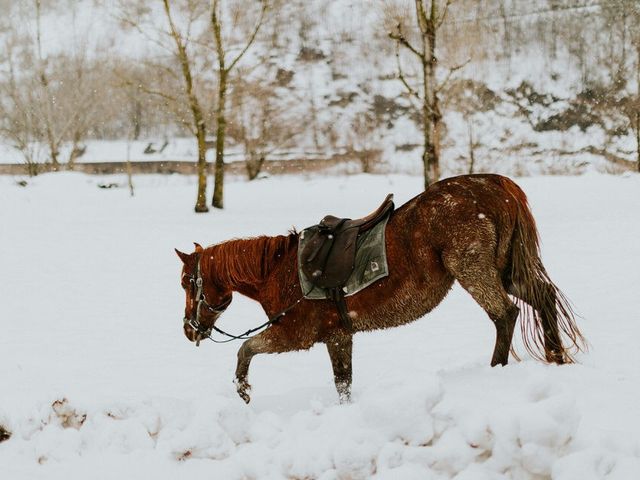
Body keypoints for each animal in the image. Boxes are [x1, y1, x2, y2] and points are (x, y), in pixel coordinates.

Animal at [174, 174, 584, 404]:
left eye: (185, 283)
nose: (189, 330)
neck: (279, 269)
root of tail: (498, 186)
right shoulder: (339, 337)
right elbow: (343, 384)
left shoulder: (295, 334)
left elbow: (245, 349)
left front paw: (243, 390)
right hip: (508, 270)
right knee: (543, 299)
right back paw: (556, 355)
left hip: (474, 271)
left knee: (505, 315)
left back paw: (496, 371)